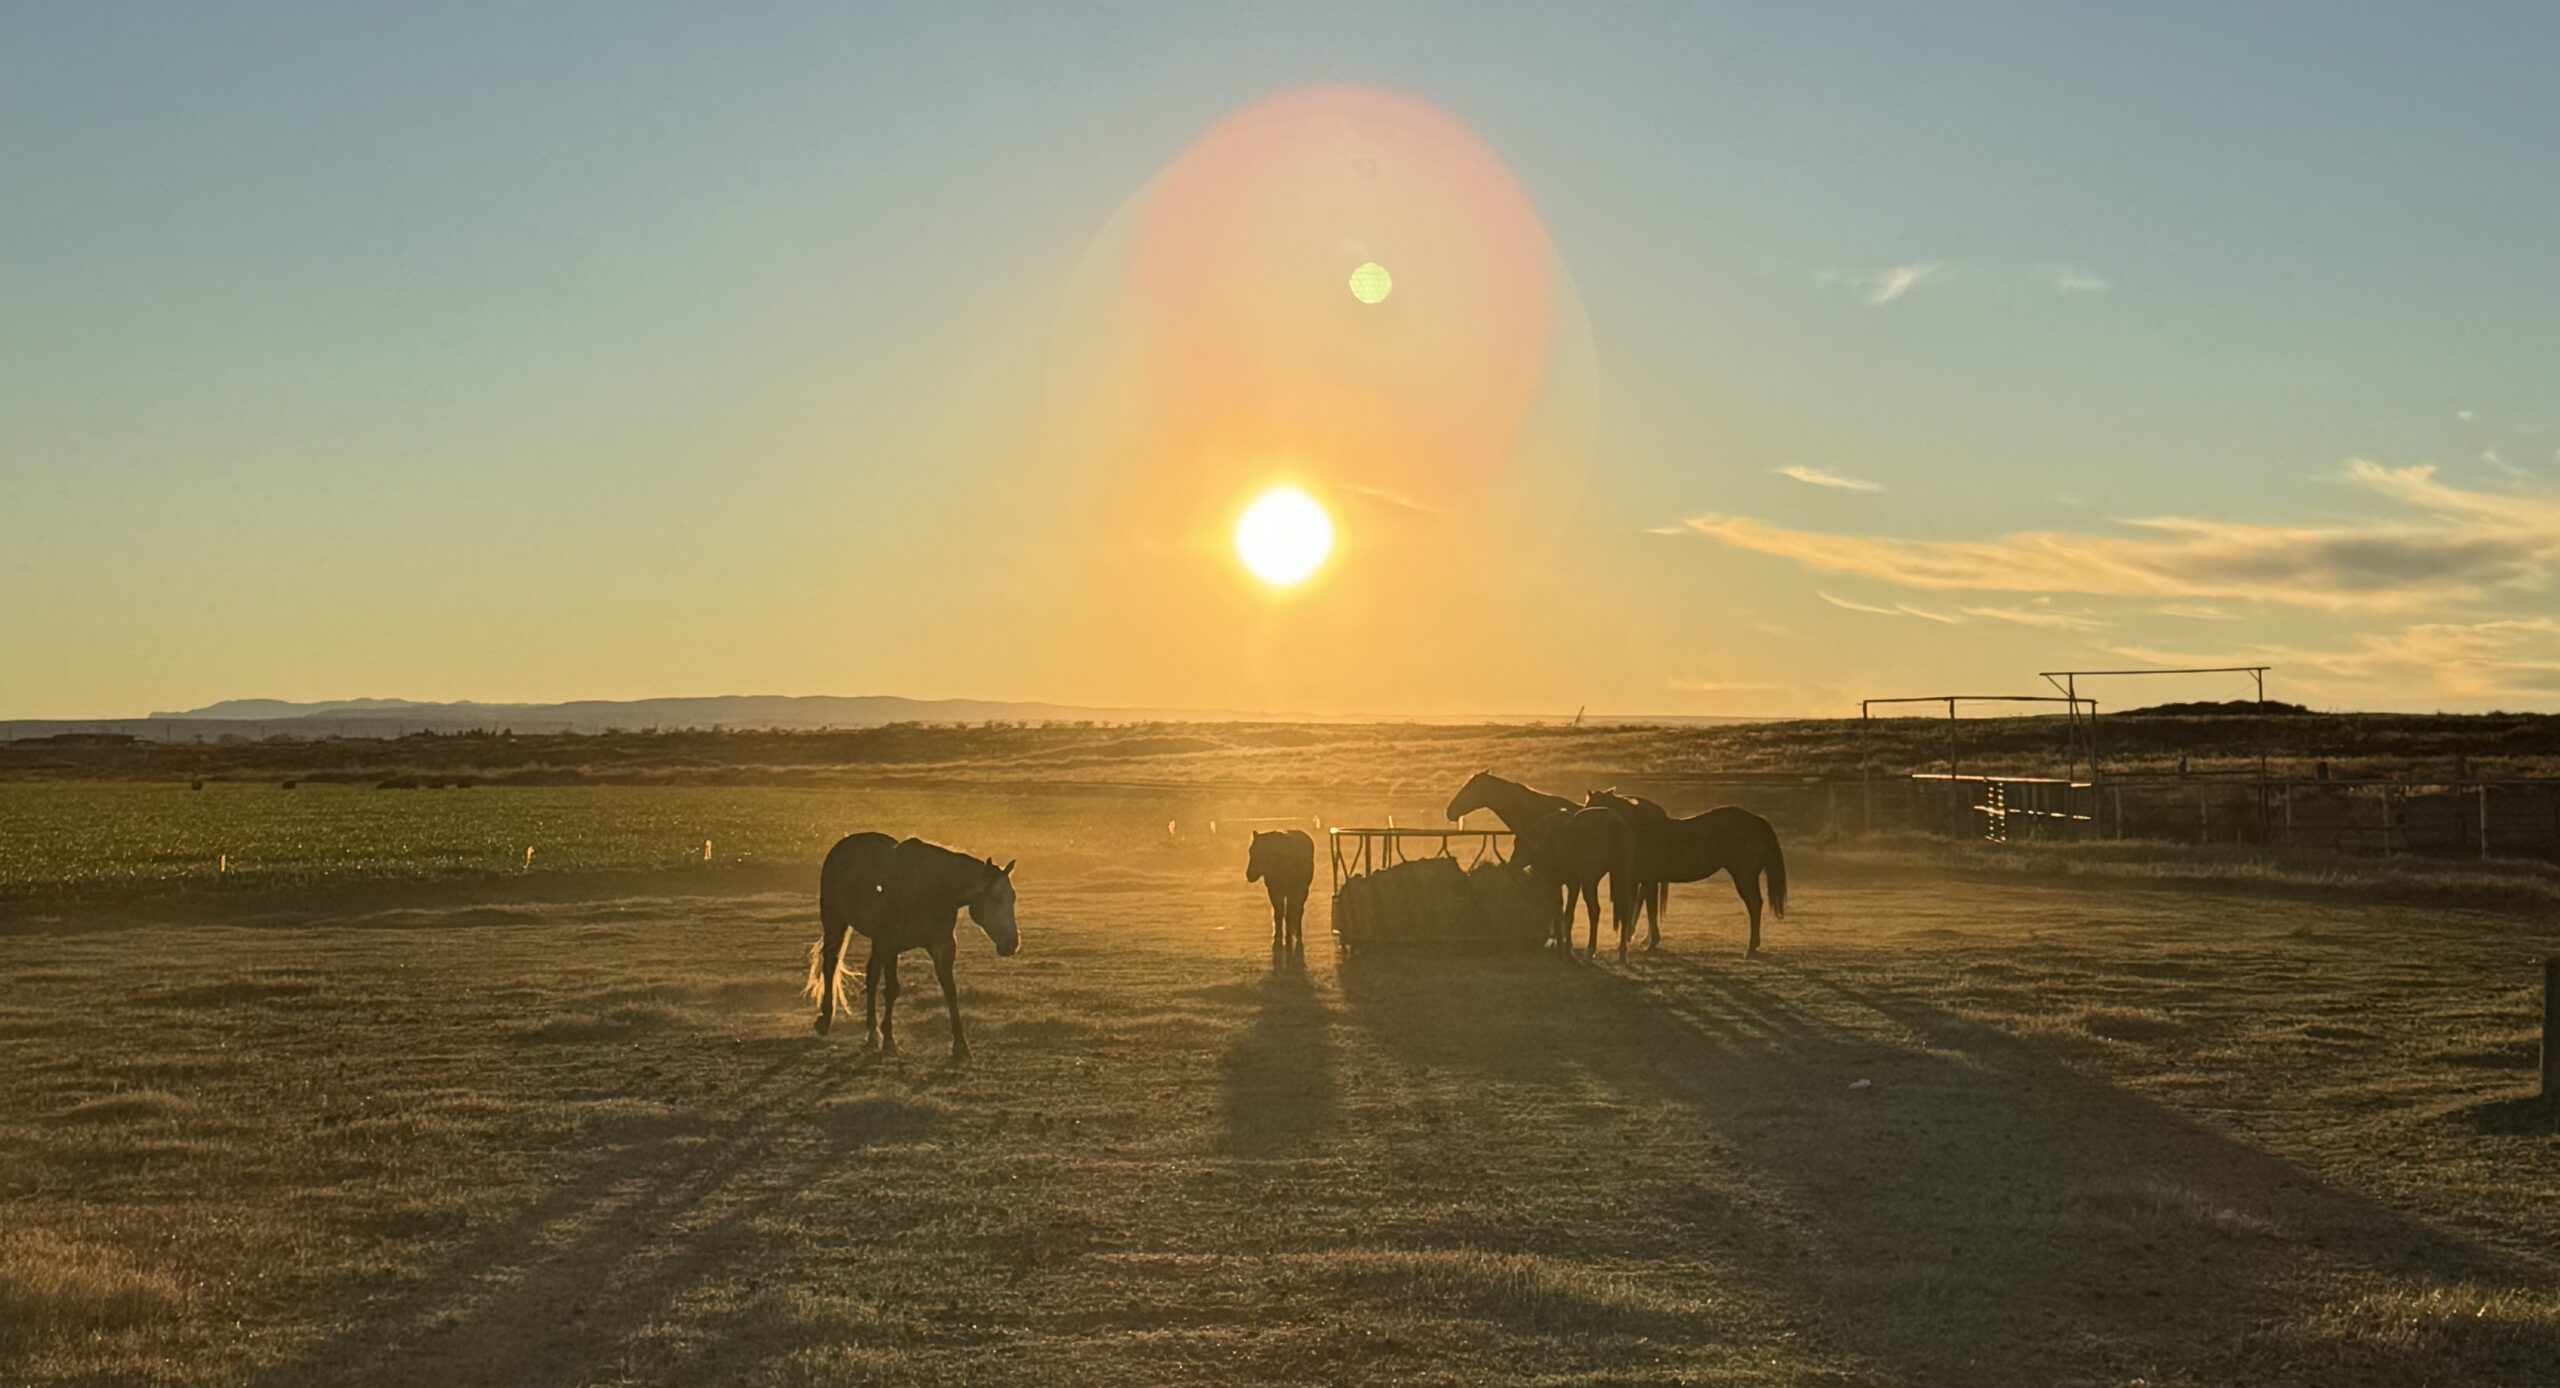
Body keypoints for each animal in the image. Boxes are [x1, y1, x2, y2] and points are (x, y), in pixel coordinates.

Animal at [809, 833, 1020, 1057]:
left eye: (1013, 897)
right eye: (995, 898)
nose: (1012, 943)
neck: (929, 889)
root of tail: (842, 845)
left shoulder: (942, 947)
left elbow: (950, 991)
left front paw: (960, 1044)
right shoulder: (890, 946)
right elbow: (892, 990)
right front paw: (890, 1040)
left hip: (876, 942)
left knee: (871, 975)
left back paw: (872, 1034)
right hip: (836, 922)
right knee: (830, 964)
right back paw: (826, 1021)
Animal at [1448, 772, 1637, 960]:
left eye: (1470, 787)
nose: (1450, 811)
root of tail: (1616, 822)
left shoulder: (1553, 877)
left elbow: (1556, 908)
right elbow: (1562, 911)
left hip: (1591, 880)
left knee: (1597, 910)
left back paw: (1592, 950)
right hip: (1618, 875)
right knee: (1623, 910)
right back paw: (1621, 951)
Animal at [1584, 789, 1788, 954]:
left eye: (1591, 807)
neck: (1640, 829)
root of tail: (1758, 820)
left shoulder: (1649, 880)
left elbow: (1650, 909)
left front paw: (1650, 942)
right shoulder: (1645, 880)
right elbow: (1644, 906)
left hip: (1744, 877)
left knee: (1755, 905)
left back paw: (1751, 947)